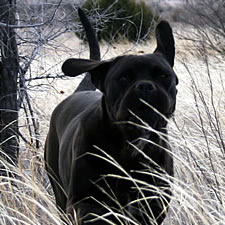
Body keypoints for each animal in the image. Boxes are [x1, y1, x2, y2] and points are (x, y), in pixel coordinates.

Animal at [44, 7, 178, 224]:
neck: (129, 145)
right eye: (123, 77)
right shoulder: (84, 202)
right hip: (59, 192)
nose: (145, 86)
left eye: (163, 76)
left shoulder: (153, 204)